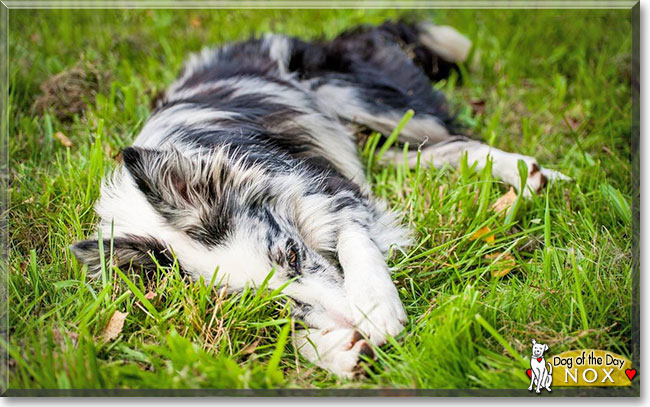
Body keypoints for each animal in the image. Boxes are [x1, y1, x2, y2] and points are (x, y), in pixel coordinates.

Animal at [72, 19, 568, 380]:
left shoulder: (328, 192)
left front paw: (376, 307)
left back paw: (532, 174)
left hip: (361, 96)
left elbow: (354, 243)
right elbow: (288, 328)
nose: (352, 324)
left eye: (292, 254)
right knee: (433, 152)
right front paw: (339, 350)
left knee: (459, 139)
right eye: (266, 299)